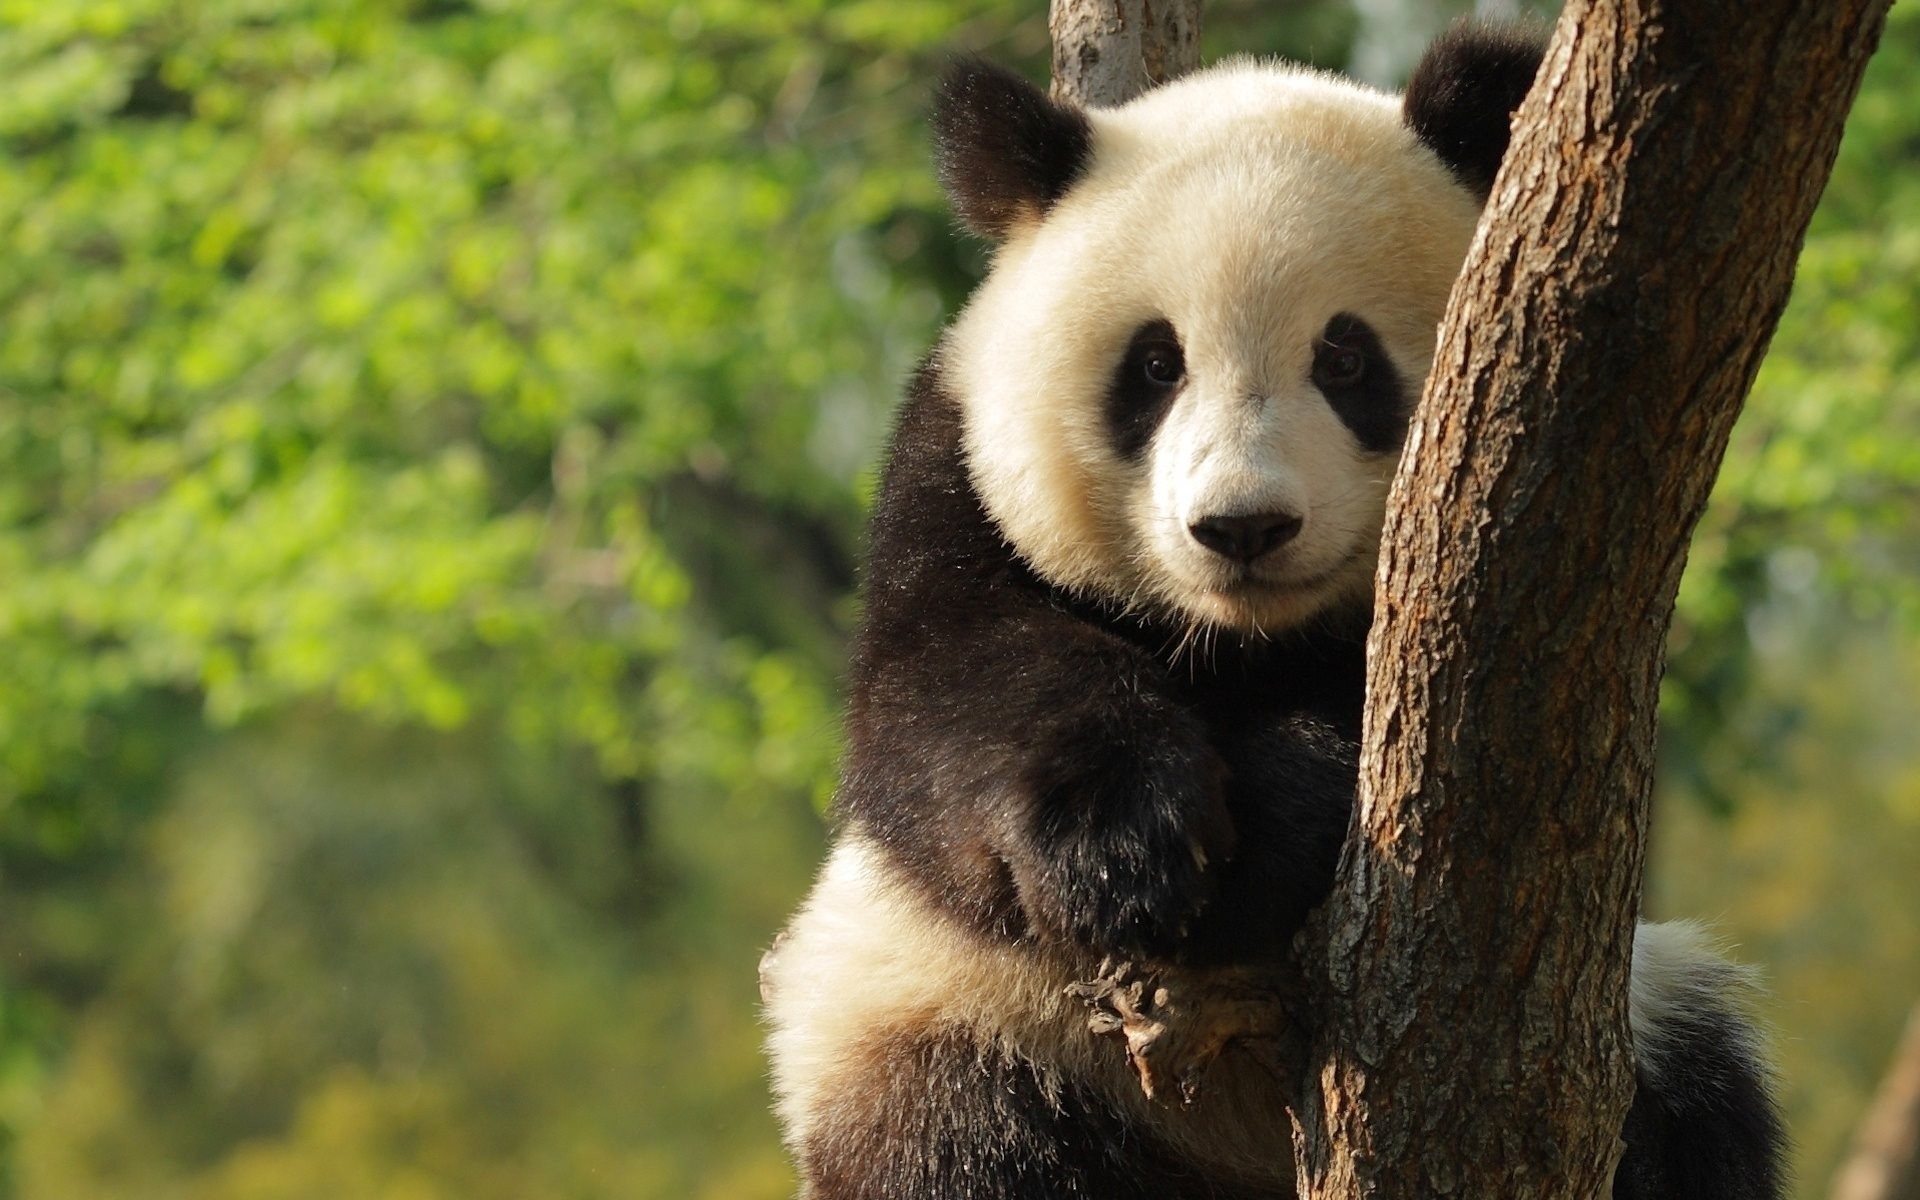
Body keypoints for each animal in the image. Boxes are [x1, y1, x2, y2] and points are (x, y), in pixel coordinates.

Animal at [761, 22, 1786, 1200]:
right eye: (1155, 364)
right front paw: (1127, 849)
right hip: (934, 1019)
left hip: (1649, 1011)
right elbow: (942, 705)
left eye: (1343, 357)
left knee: (1704, 1108)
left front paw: (1262, 833)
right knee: (956, 1138)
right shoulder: (953, 478)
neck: (1239, 641)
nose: (1242, 527)